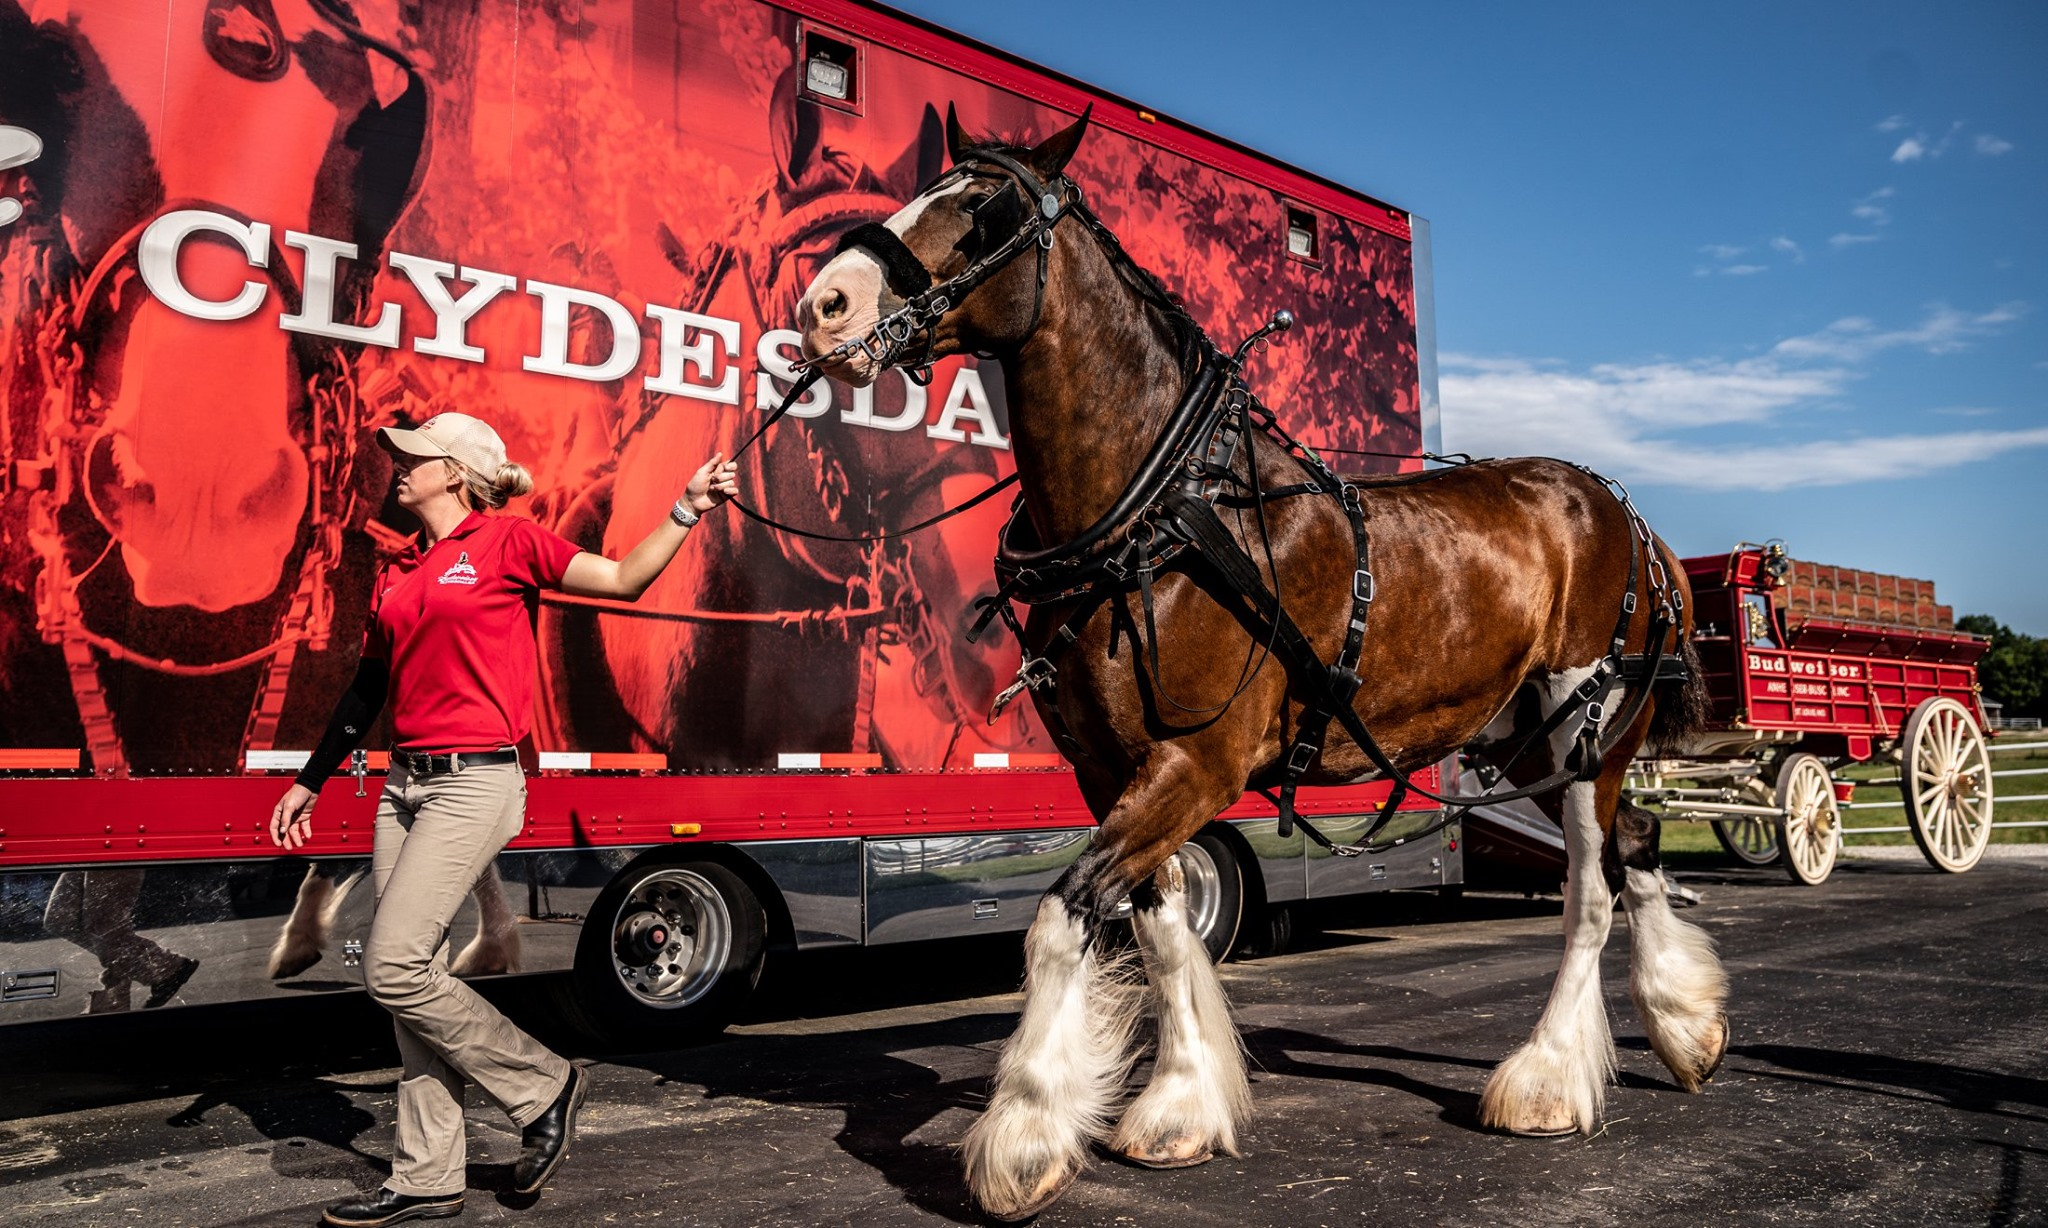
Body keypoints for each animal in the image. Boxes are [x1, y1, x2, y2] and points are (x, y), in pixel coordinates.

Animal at [790, 112, 1720, 1219]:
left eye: (987, 208)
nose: (823, 303)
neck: (1160, 516)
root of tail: (1621, 512)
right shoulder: (1114, 771)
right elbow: (1157, 930)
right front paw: (1180, 1105)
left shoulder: (1196, 763)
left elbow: (1065, 918)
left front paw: (1023, 1134)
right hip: (1527, 739)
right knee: (1638, 842)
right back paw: (1685, 1027)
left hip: (1586, 729)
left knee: (1588, 888)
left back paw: (1543, 1080)